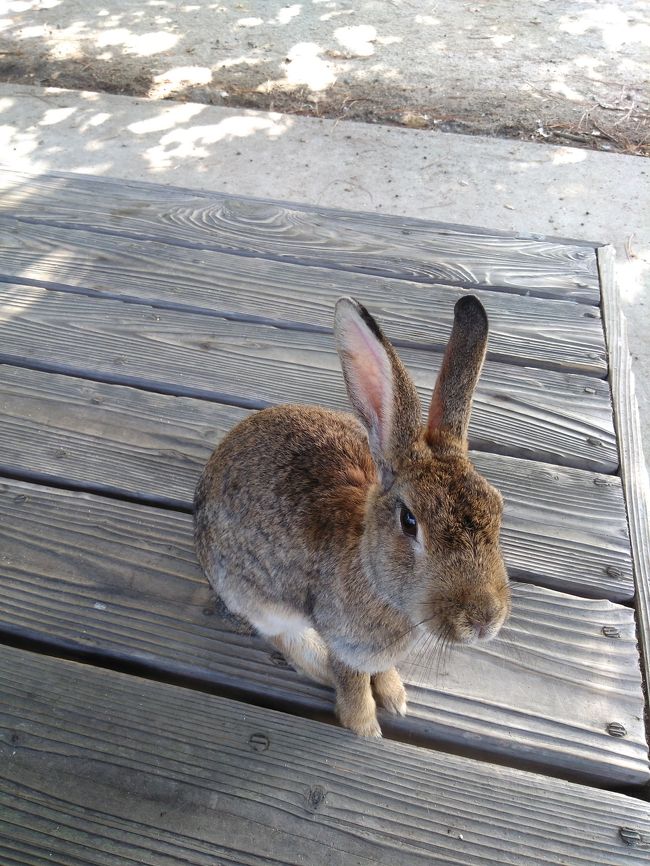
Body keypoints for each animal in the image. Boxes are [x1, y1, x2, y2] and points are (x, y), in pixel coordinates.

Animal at [195, 296, 508, 736]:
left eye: (498, 507)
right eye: (410, 522)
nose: (484, 620)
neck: (375, 578)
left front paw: (394, 697)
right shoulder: (346, 643)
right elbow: (352, 681)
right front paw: (364, 727)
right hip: (252, 595)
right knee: (279, 634)